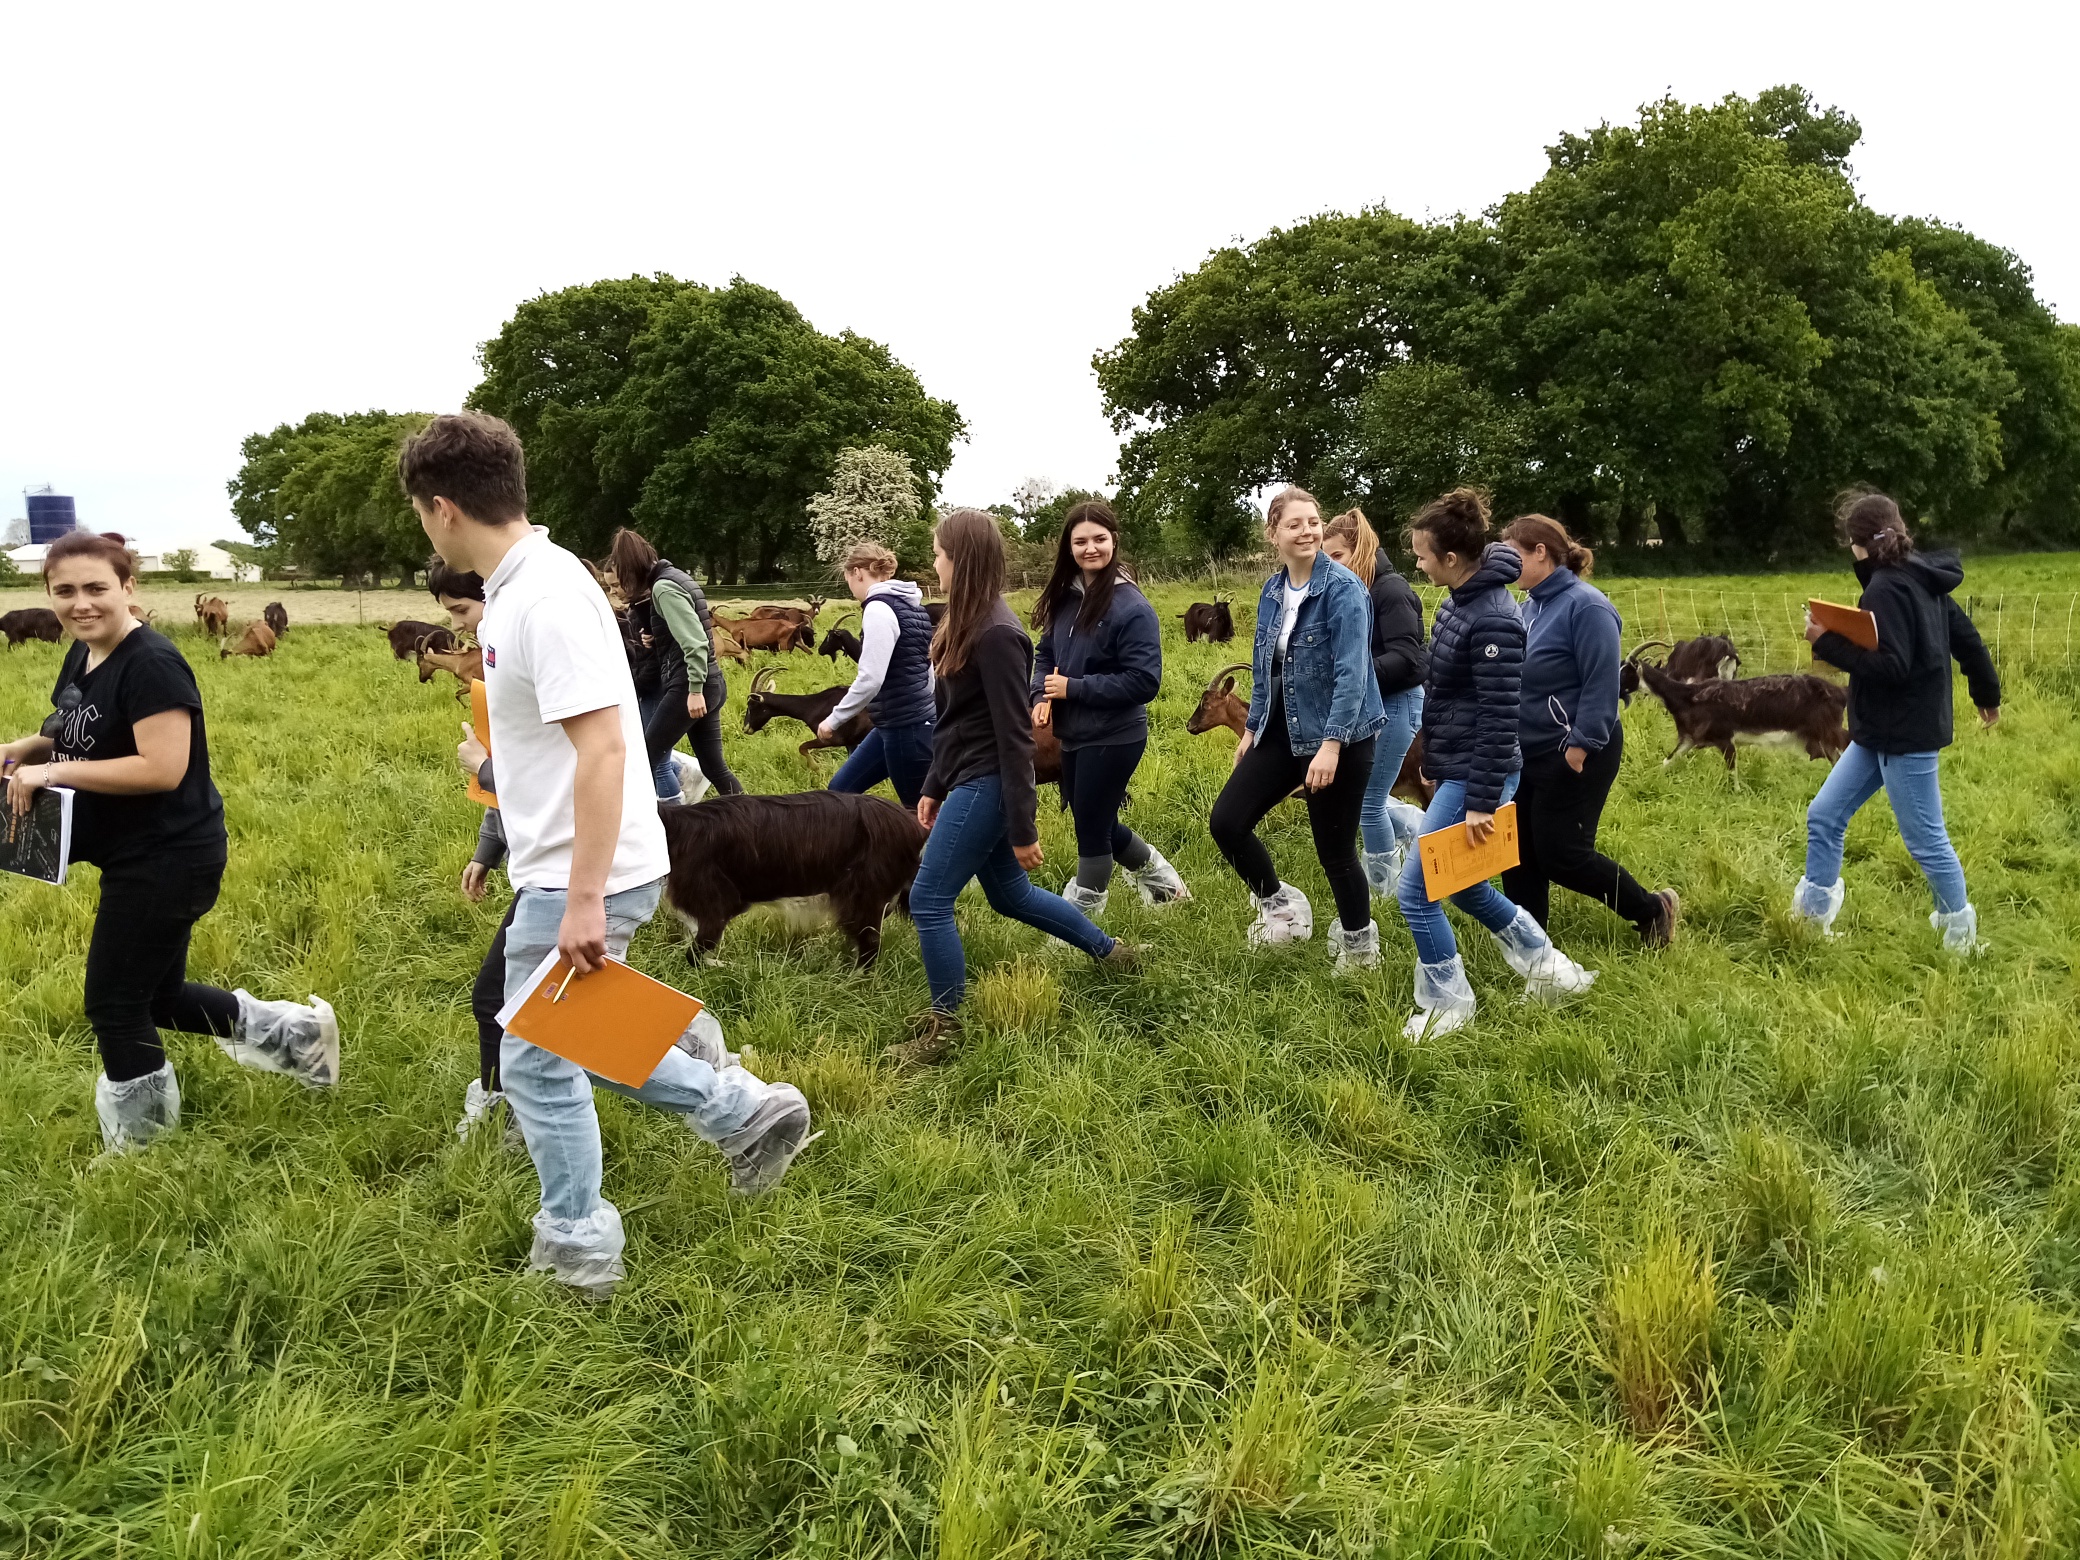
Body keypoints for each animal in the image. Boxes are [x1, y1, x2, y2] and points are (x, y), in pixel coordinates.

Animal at [1630, 661, 1847, 773]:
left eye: (1627, 670)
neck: (1688, 696)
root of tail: (1840, 692)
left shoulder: (1725, 739)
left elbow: (1732, 771)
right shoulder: (1689, 739)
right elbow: (1668, 761)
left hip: (1827, 732)